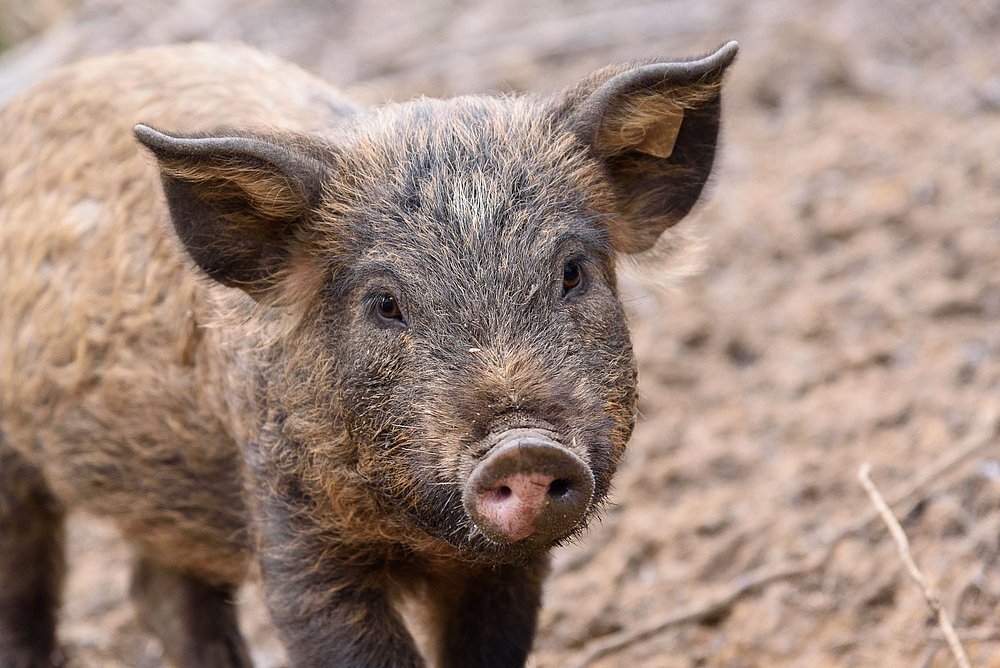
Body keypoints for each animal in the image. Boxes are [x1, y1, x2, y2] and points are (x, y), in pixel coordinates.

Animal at [0, 40, 736, 668]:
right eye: (384, 302)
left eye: (573, 271)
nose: (525, 447)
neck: (422, 535)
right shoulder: (291, 526)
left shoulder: (510, 568)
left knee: (162, 593)